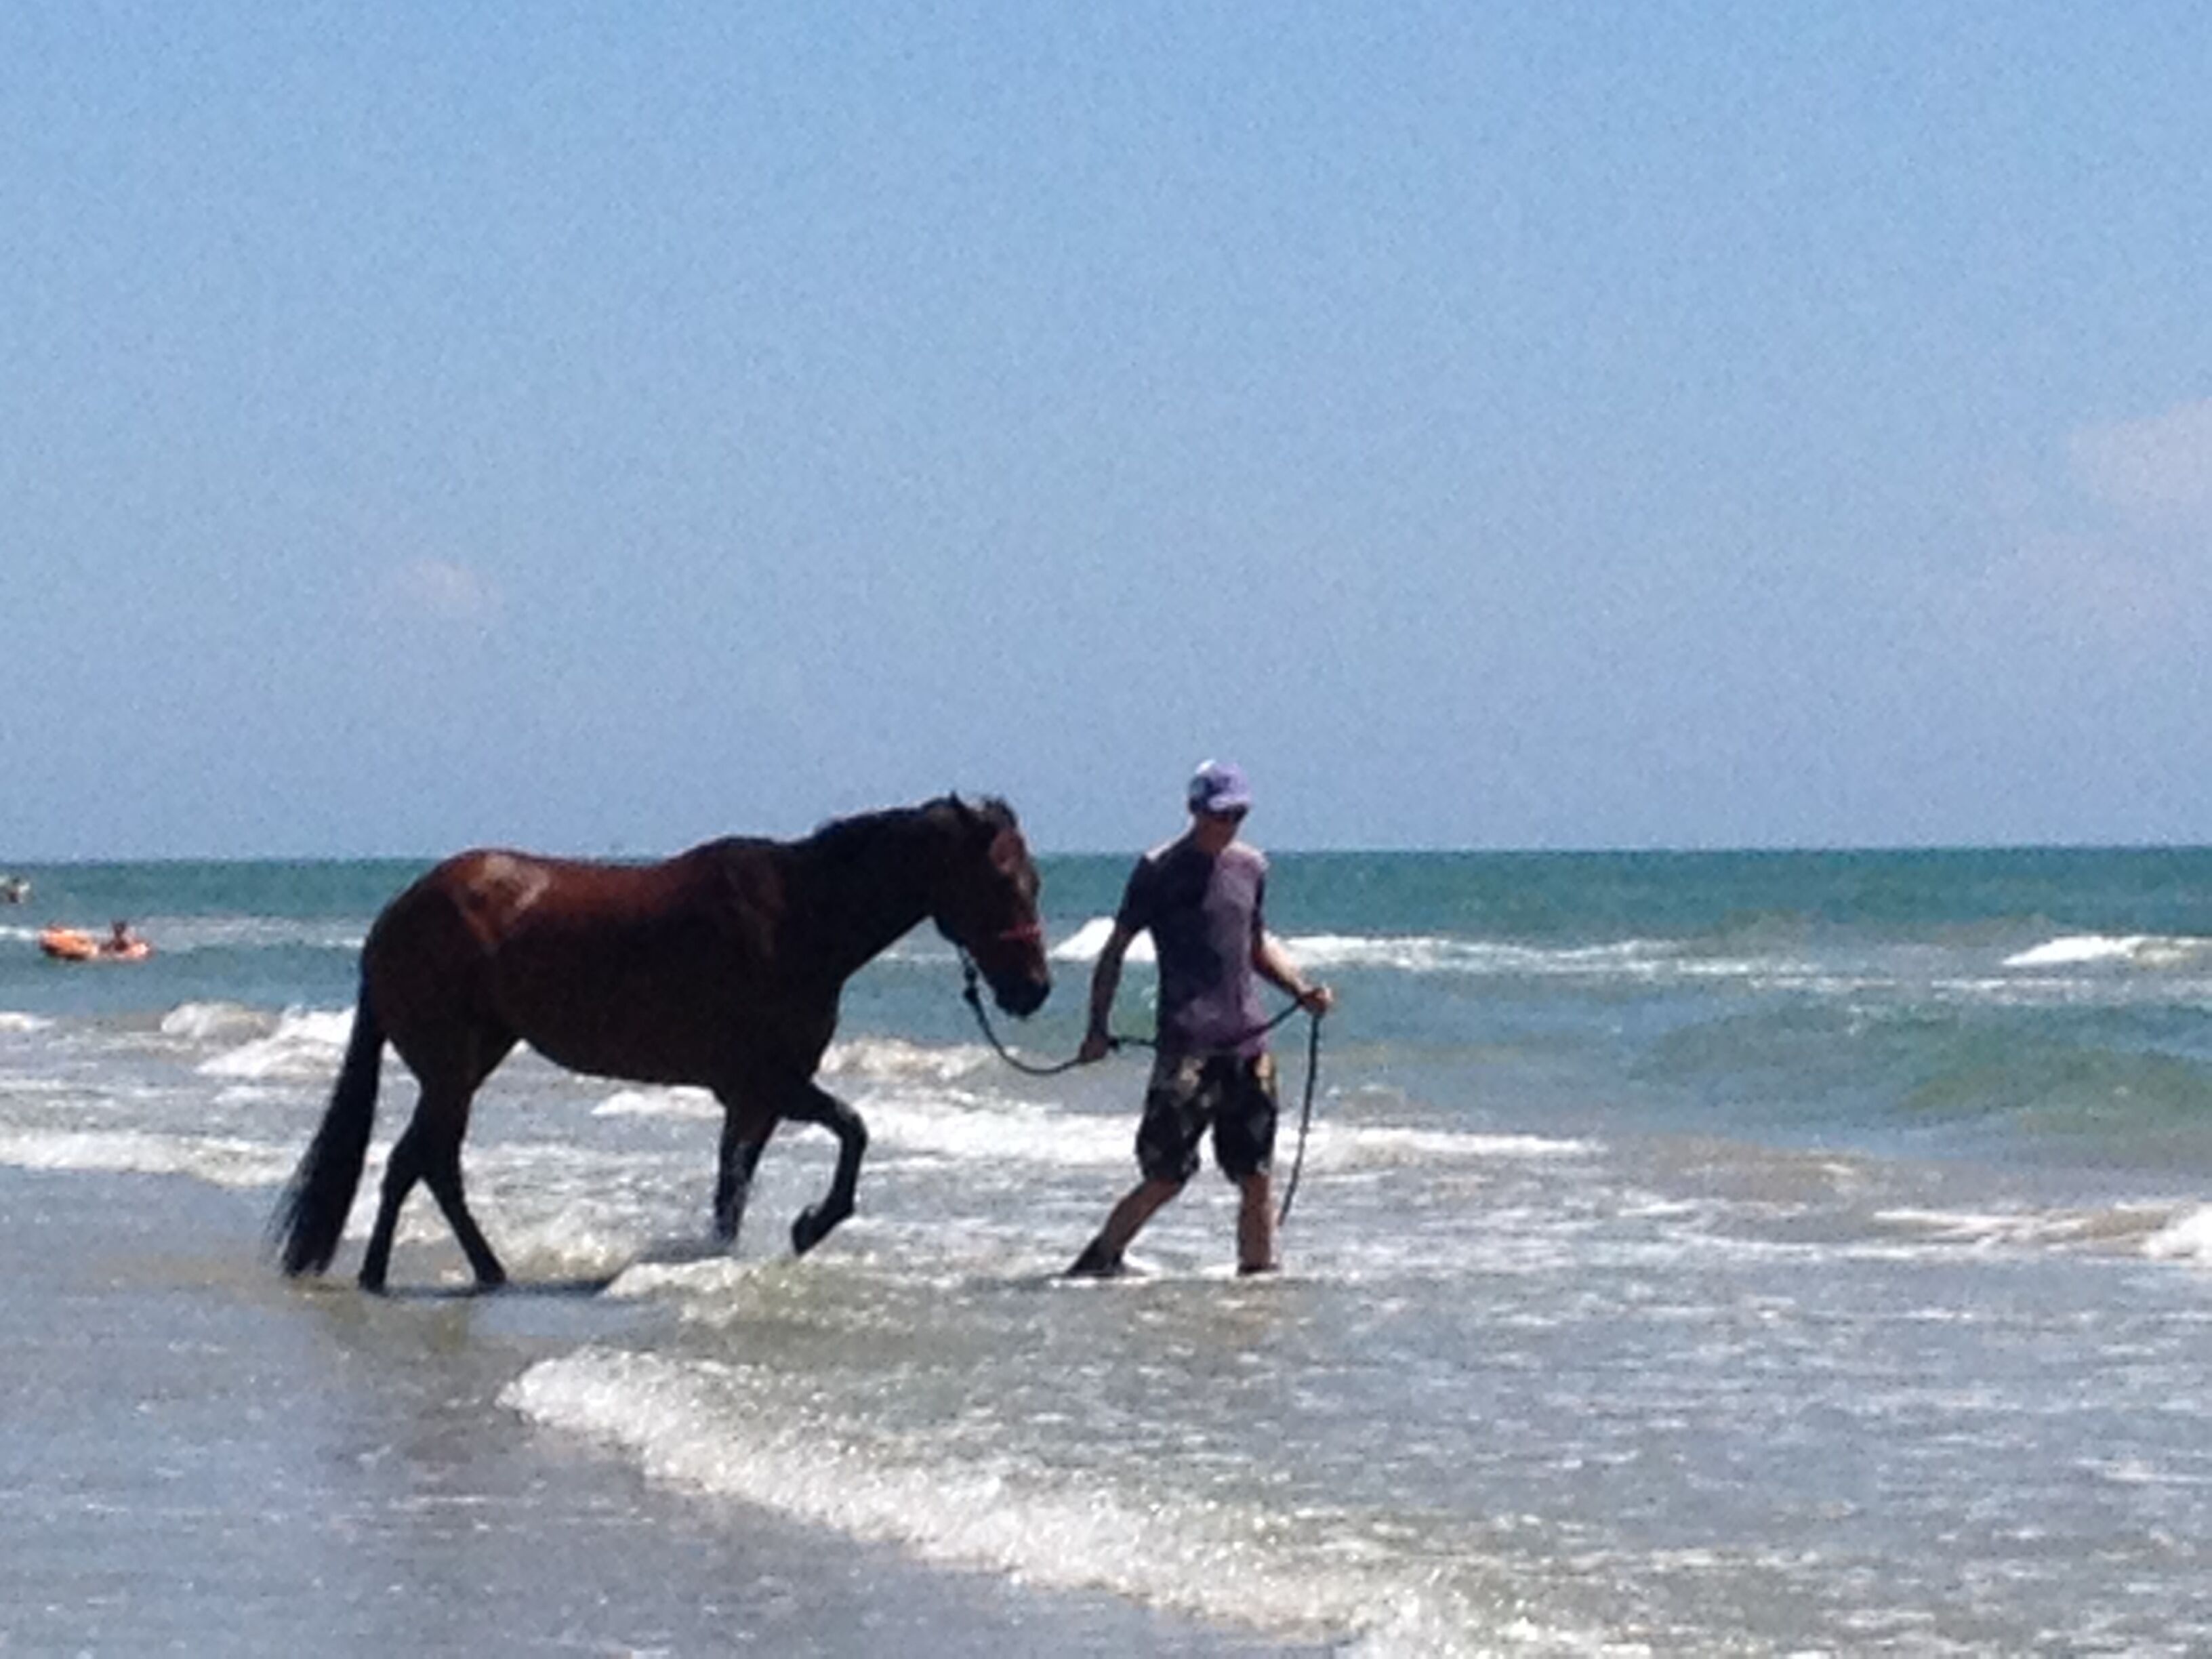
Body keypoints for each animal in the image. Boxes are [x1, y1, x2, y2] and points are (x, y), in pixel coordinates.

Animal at [273, 796, 1050, 1292]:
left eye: (1036, 881)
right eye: (1000, 880)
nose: (1035, 990)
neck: (799, 920)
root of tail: (392, 919)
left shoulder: (754, 1100)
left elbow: (733, 1191)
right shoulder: (767, 1084)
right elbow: (853, 1131)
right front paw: (810, 1225)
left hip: (469, 1064)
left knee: (423, 1164)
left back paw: (460, 1273)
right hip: (451, 1070)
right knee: (421, 1163)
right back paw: (400, 1277)